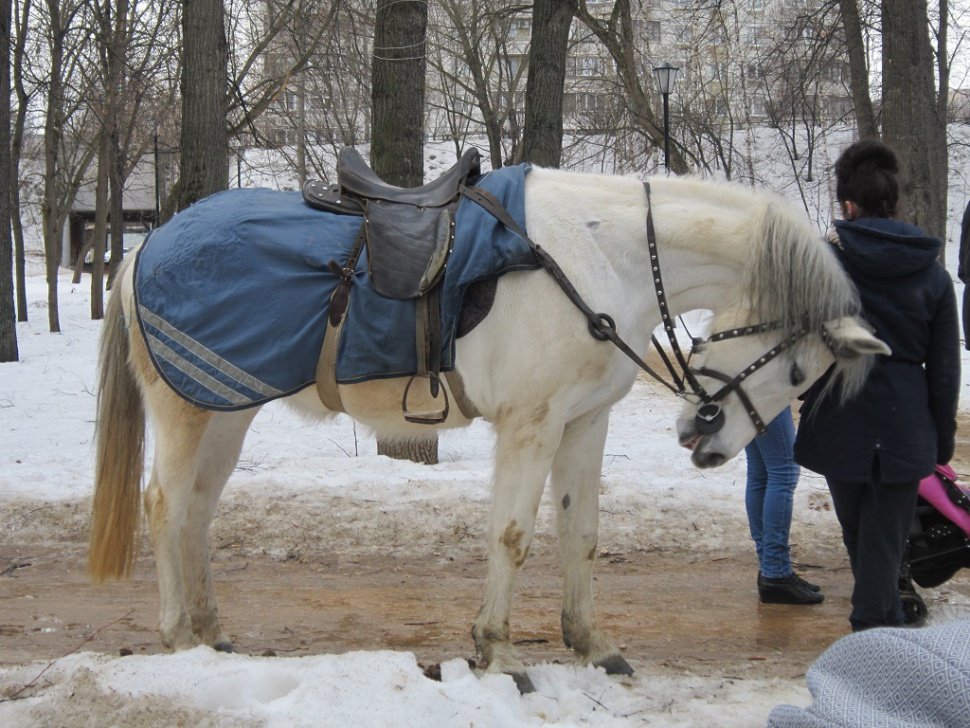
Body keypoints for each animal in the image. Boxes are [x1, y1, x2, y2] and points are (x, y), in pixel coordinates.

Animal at [89, 168, 884, 692]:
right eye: (796, 373)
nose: (710, 445)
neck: (603, 256)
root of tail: (143, 250)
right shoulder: (532, 425)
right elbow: (513, 534)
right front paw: (499, 652)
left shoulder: (583, 423)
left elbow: (580, 535)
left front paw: (591, 644)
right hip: (187, 411)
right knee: (164, 507)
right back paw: (178, 633)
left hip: (227, 411)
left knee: (197, 513)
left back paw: (211, 634)